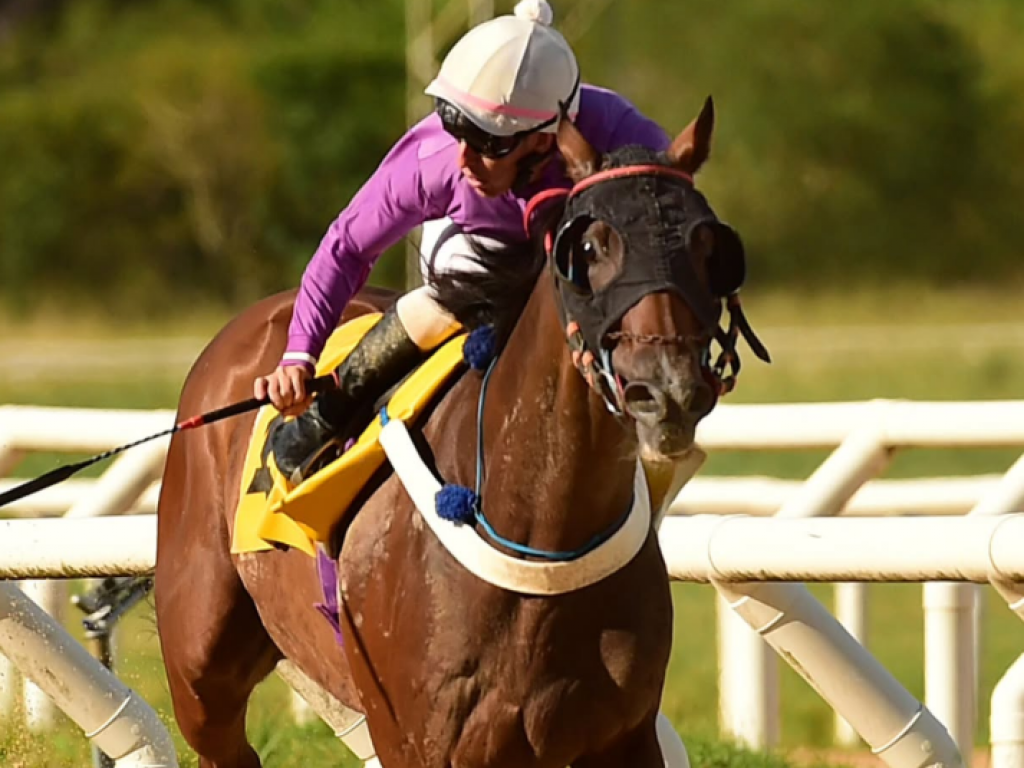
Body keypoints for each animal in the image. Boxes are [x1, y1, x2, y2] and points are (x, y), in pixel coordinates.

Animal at [153, 97, 761, 768]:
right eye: (589, 247)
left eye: (710, 248)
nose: (668, 388)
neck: (542, 536)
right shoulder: (420, 740)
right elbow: (352, 237)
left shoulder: (623, 736)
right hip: (199, 669)